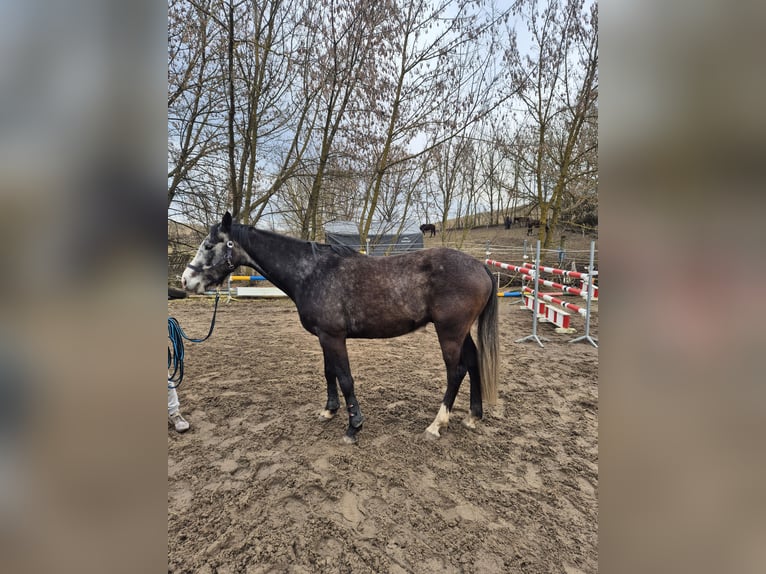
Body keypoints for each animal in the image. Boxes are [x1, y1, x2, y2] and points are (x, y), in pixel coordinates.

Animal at [182, 212, 499, 444]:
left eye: (208, 246)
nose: (187, 281)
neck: (311, 272)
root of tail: (480, 267)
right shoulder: (324, 337)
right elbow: (329, 372)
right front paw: (329, 410)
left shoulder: (334, 337)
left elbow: (345, 378)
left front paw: (353, 426)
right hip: (461, 332)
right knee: (473, 363)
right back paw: (473, 416)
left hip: (449, 332)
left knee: (456, 371)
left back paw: (436, 424)